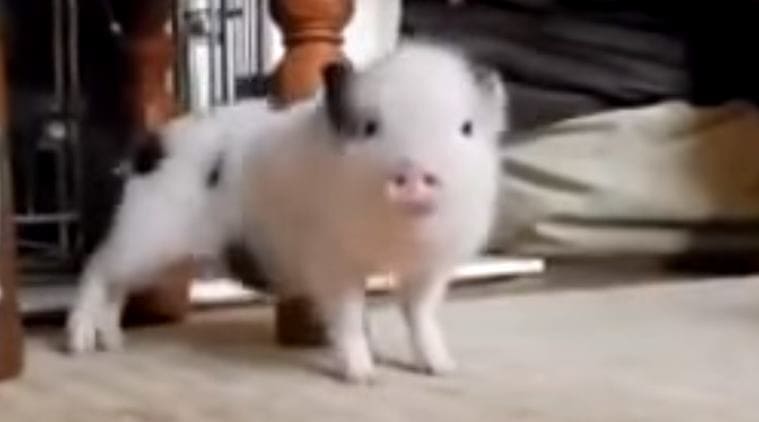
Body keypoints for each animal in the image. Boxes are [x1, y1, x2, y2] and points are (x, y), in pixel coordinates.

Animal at [65, 40, 509, 383]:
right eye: (370, 128)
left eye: (466, 128)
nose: (415, 173)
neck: (398, 238)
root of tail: (147, 150)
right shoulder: (333, 264)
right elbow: (348, 317)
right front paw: (364, 377)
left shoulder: (429, 269)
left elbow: (420, 317)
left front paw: (442, 368)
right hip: (144, 234)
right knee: (97, 270)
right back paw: (79, 346)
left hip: (161, 257)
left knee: (117, 289)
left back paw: (113, 344)